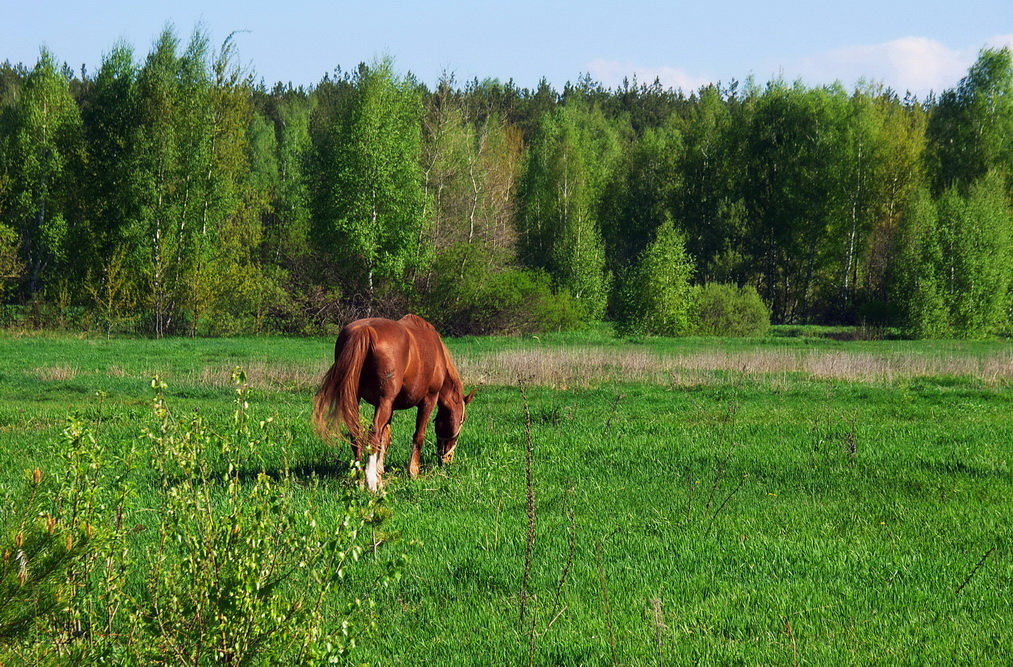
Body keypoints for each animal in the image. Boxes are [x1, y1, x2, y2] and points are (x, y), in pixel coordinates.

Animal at [312, 312, 474, 488]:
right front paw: (413, 472)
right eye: (462, 420)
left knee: (356, 435)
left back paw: (360, 478)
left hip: (357, 399)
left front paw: (380, 473)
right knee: (373, 434)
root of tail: (365, 330)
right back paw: (370, 483)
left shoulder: (390, 407)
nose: (447, 459)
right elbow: (418, 436)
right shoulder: (428, 399)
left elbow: (385, 440)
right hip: (384, 401)